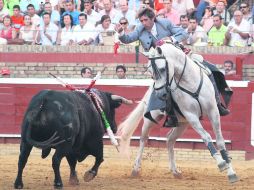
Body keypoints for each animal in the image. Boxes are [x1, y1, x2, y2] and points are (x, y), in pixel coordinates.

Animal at [118, 42, 239, 183]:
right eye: (150, 71)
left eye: (162, 69)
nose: (160, 94)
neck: (189, 81)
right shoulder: (191, 116)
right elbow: (206, 136)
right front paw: (221, 163)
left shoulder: (213, 112)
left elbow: (220, 140)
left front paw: (231, 172)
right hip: (151, 118)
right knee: (143, 139)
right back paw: (136, 169)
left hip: (182, 123)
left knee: (170, 140)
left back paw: (175, 171)